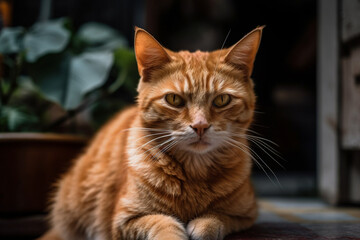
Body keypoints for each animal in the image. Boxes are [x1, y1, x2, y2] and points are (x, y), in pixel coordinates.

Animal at [40, 26, 264, 240]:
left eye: (222, 100)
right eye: (174, 99)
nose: (200, 125)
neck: (194, 171)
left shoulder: (246, 214)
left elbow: (215, 220)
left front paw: (204, 225)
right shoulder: (124, 220)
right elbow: (163, 225)